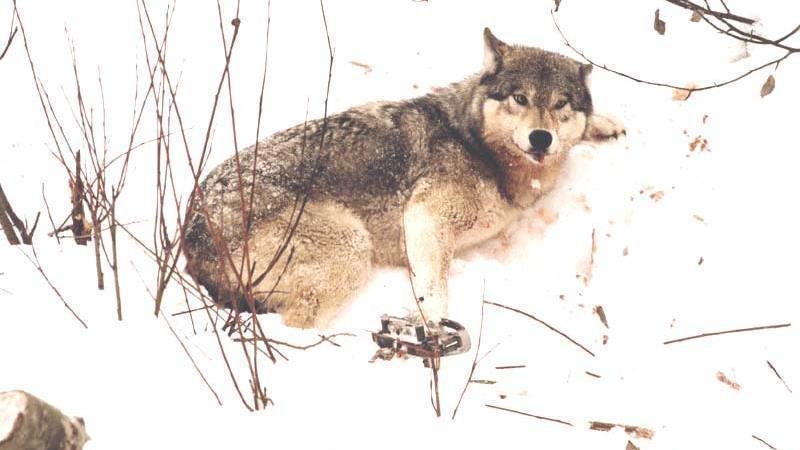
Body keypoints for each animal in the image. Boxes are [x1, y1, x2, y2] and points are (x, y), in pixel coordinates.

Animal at [182, 28, 624, 329]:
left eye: (561, 104)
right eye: (520, 98)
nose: (541, 138)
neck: (477, 144)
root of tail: (191, 232)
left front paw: (604, 124)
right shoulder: (425, 218)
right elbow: (436, 290)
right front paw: (434, 329)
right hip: (351, 245)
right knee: (296, 323)